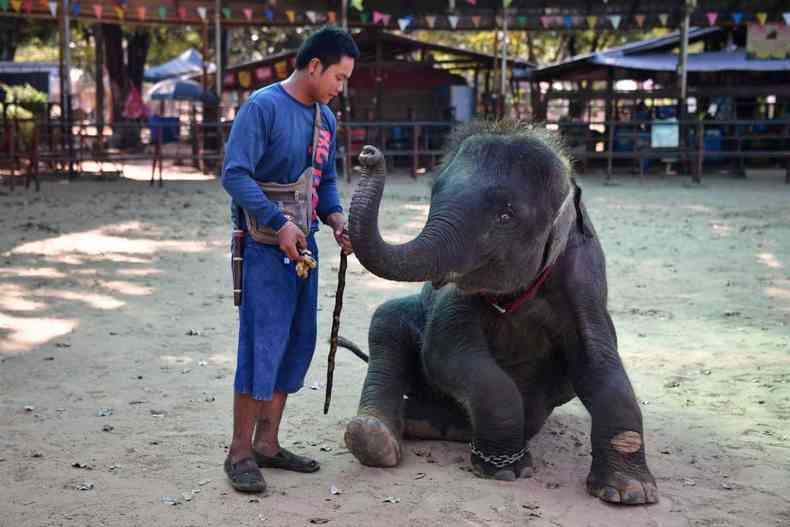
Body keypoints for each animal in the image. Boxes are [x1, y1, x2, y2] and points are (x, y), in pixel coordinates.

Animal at [344, 121, 660, 506]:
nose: (368, 154)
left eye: (505, 216)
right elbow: (448, 351)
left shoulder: (584, 277)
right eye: (434, 195)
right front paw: (506, 471)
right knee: (386, 320)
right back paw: (374, 437)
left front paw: (630, 493)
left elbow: (597, 359)